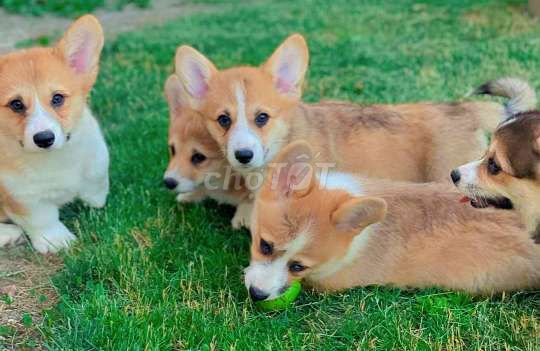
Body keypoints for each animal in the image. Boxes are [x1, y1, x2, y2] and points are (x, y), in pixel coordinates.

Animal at [0, 16, 108, 254]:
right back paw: (8, 234)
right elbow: (43, 218)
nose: (44, 139)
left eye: (57, 98)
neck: (53, 159)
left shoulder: (96, 154)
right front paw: (57, 240)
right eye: (16, 104)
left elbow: (97, 180)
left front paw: (95, 200)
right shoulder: (22, 195)